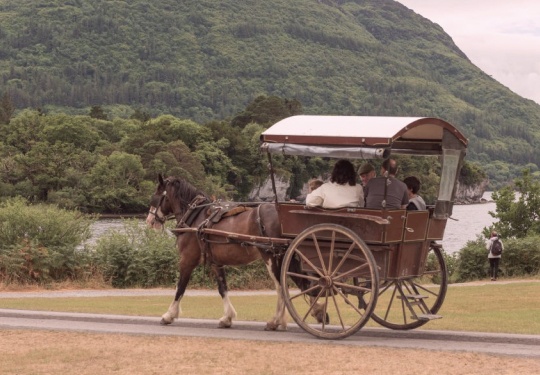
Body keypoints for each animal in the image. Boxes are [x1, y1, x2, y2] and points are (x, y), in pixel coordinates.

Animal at [146, 175, 294, 330]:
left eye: (155, 196)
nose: (149, 220)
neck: (195, 217)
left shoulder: (187, 260)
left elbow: (180, 287)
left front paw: (169, 315)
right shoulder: (216, 263)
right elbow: (222, 288)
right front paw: (227, 317)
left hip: (270, 255)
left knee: (280, 286)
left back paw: (275, 320)